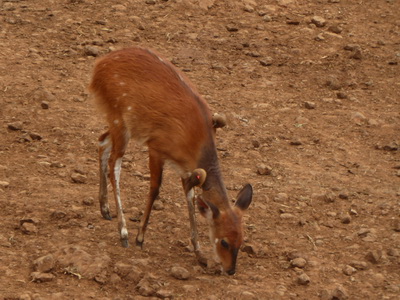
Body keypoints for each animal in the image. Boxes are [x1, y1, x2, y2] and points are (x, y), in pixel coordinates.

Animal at [90, 46, 253, 274]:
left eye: (242, 240)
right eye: (224, 242)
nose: (230, 270)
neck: (196, 138)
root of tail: (100, 65)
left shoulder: (188, 170)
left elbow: (190, 199)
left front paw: (200, 255)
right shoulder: (157, 148)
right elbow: (155, 188)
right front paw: (140, 238)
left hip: (117, 124)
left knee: (102, 141)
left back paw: (104, 209)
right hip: (120, 121)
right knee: (114, 163)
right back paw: (123, 233)